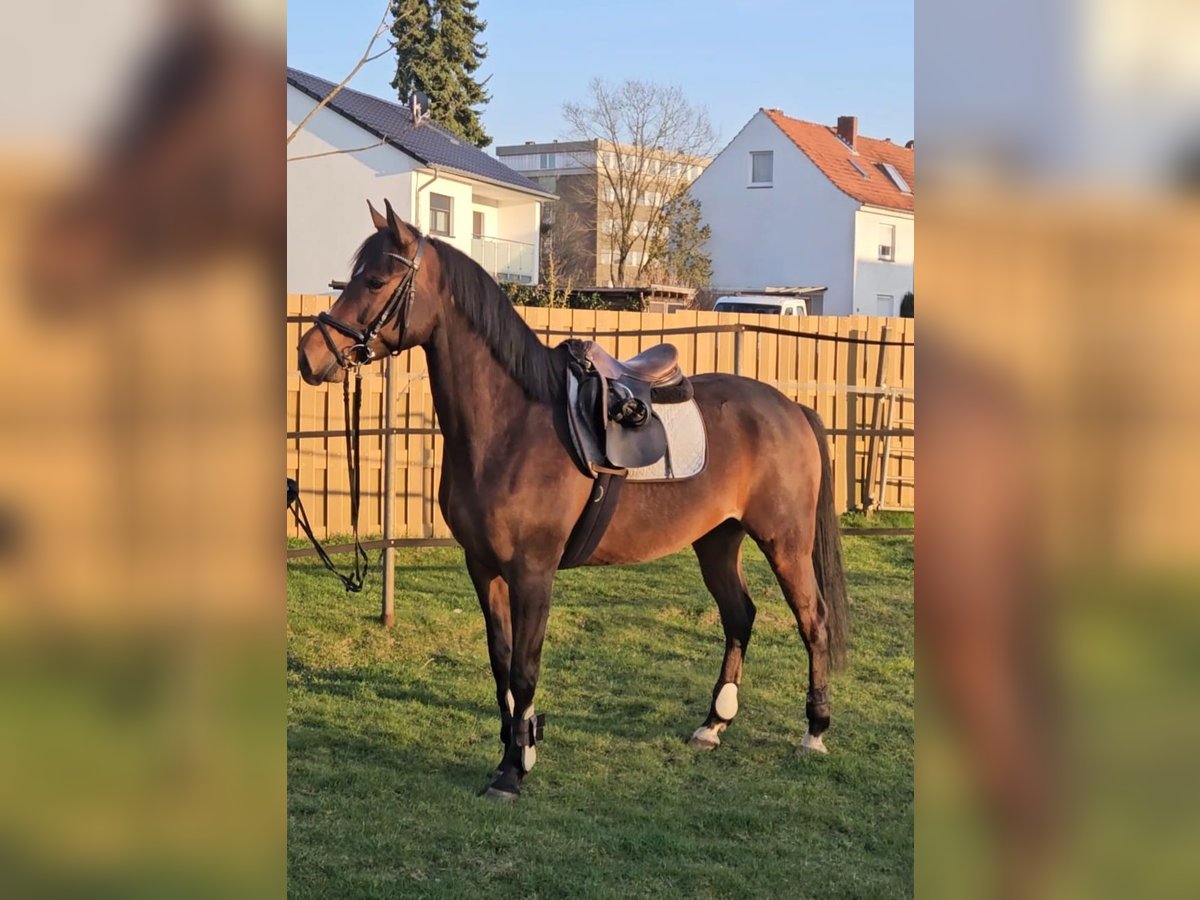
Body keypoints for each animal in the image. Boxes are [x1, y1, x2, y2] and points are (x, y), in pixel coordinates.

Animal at [297, 200, 849, 800]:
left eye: (376, 280)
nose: (309, 355)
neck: (510, 427)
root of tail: (791, 408)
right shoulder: (482, 567)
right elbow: (501, 662)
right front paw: (517, 747)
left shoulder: (534, 572)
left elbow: (525, 668)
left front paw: (513, 770)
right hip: (717, 540)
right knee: (739, 615)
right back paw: (713, 724)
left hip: (784, 542)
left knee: (813, 620)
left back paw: (815, 730)